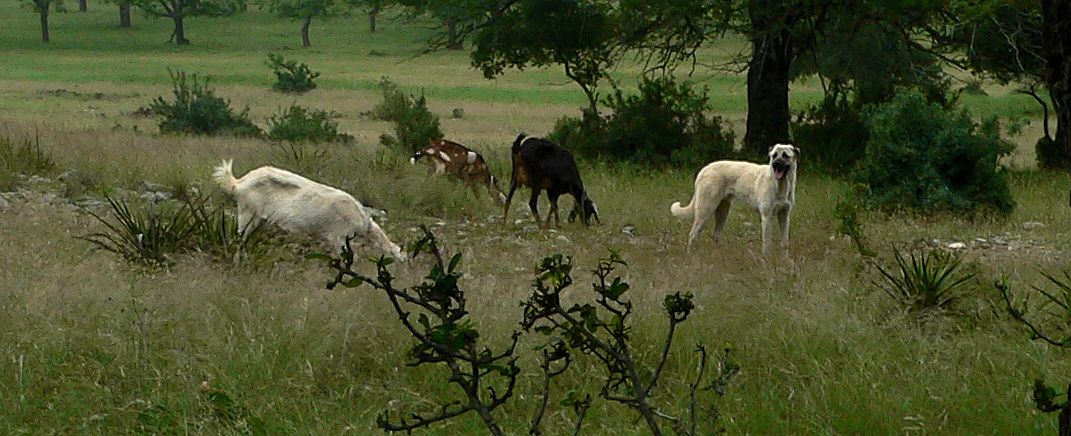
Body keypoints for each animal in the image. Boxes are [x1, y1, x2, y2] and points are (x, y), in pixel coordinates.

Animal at [212, 161, 404, 261]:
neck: (361, 220)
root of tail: (238, 183)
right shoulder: (337, 237)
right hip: (248, 215)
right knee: (239, 240)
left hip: (261, 221)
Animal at [672, 144, 801, 253]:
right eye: (774, 155)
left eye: (785, 155)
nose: (775, 164)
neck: (781, 185)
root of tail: (704, 170)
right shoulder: (767, 217)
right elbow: (767, 244)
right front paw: (767, 262)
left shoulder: (784, 216)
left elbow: (784, 243)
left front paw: (786, 262)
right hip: (705, 210)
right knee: (693, 235)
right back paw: (690, 256)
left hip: (723, 211)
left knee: (715, 235)